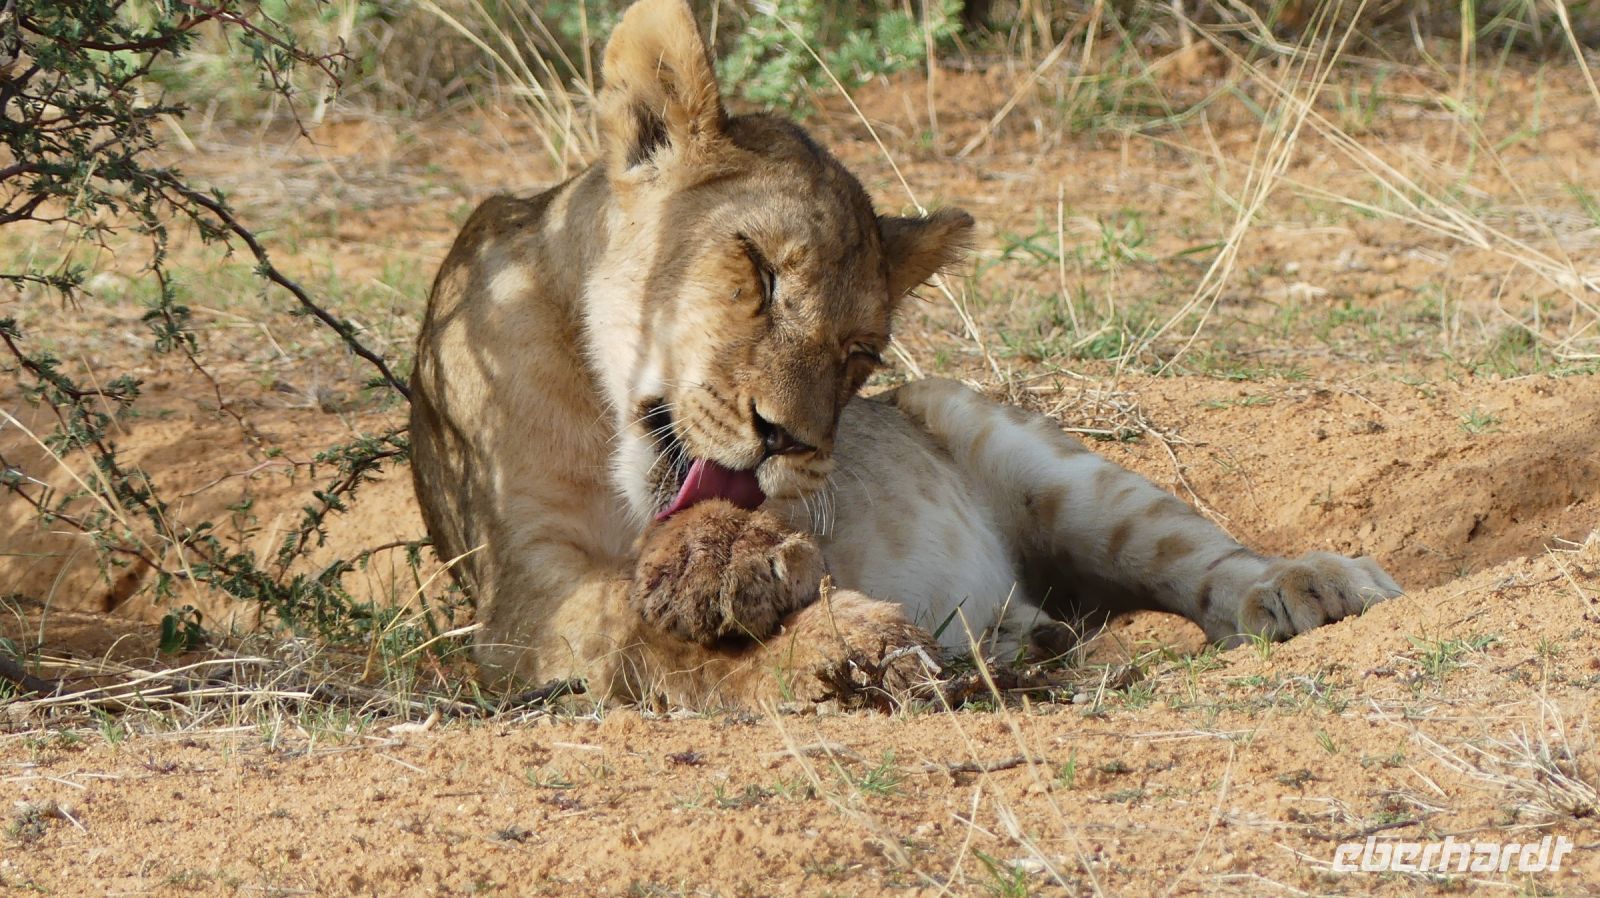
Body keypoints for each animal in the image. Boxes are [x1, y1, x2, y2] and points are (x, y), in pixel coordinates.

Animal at [409, 0, 1401, 707]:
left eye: (861, 353)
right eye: (758, 269)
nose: (786, 440)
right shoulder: (518, 597)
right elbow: (633, 624)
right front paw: (836, 642)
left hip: (1022, 446)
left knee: (1192, 553)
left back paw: (1304, 584)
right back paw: (1023, 639)